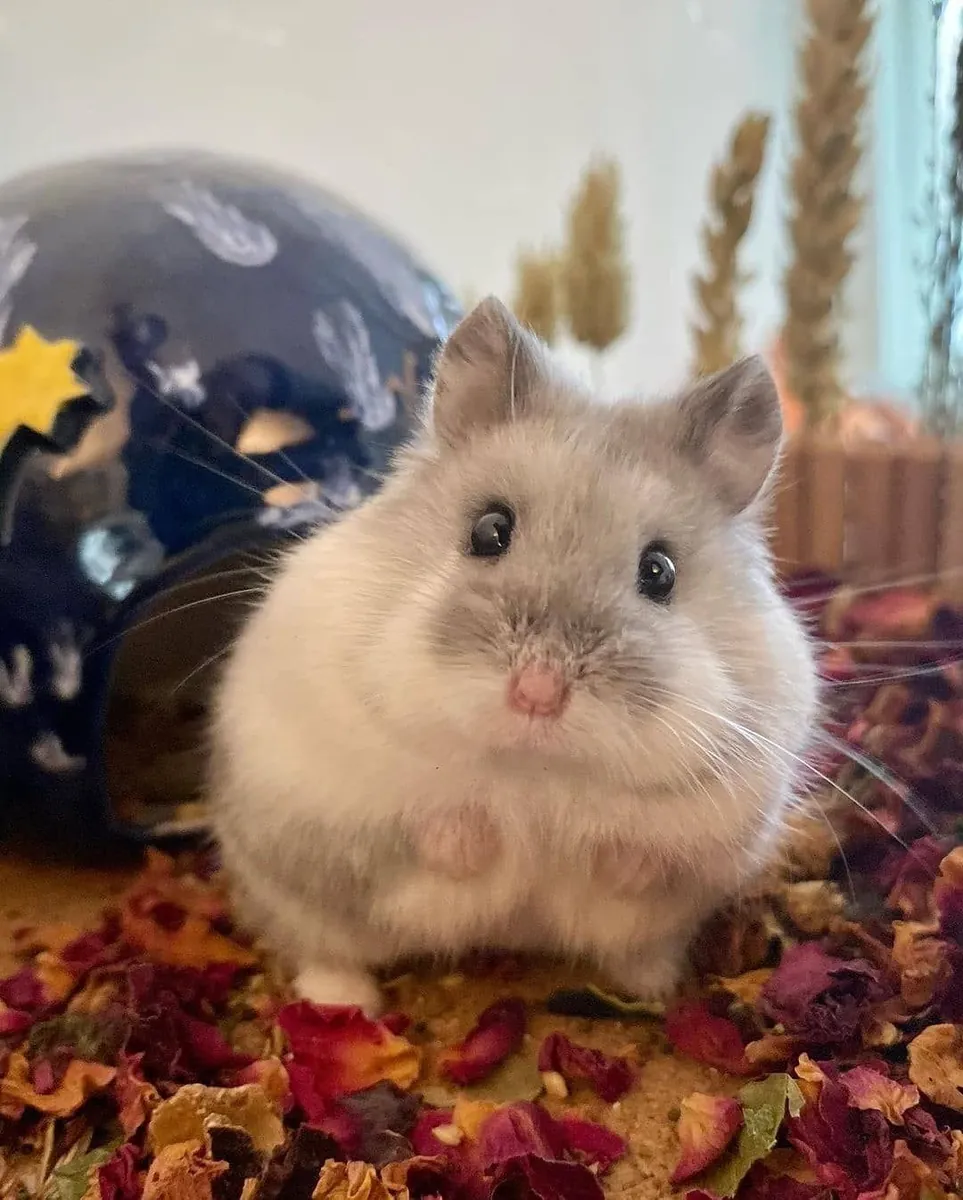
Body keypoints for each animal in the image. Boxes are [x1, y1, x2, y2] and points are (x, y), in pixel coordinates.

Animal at [209, 296, 819, 1013]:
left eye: (659, 572)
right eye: (489, 530)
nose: (538, 694)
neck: (534, 771)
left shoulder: (723, 813)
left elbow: (645, 858)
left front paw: (601, 858)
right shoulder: (334, 787)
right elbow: (427, 830)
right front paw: (478, 839)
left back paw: (654, 987)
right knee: (321, 948)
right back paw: (344, 1004)